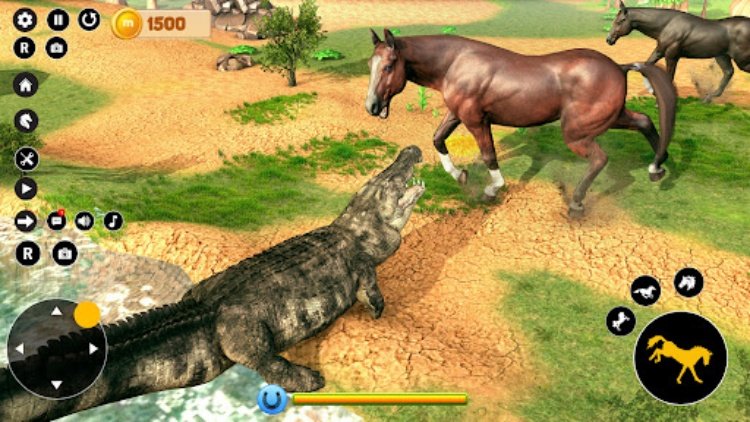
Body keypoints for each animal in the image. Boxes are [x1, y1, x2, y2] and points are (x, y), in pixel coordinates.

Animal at [365, 29, 676, 217]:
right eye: (371, 65)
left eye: (389, 66)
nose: (372, 106)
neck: (456, 63)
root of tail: (619, 68)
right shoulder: (456, 113)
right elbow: (437, 138)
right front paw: (460, 175)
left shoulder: (476, 120)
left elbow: (489, 154)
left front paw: (492, 189)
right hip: (612, 118)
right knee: (645, 121)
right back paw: (656, 169)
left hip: (576, 133)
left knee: (600, 158)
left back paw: (576, 202)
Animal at [607, 1, 750, 102]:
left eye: (620, 21)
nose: (609, 40)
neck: (667, 25)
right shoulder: (659, 51)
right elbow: (646, 67)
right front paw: (653, 92)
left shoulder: (671, 56)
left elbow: (669, 76)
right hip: (722, 56)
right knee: (728, 72)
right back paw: (707, 98)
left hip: (741, 61)